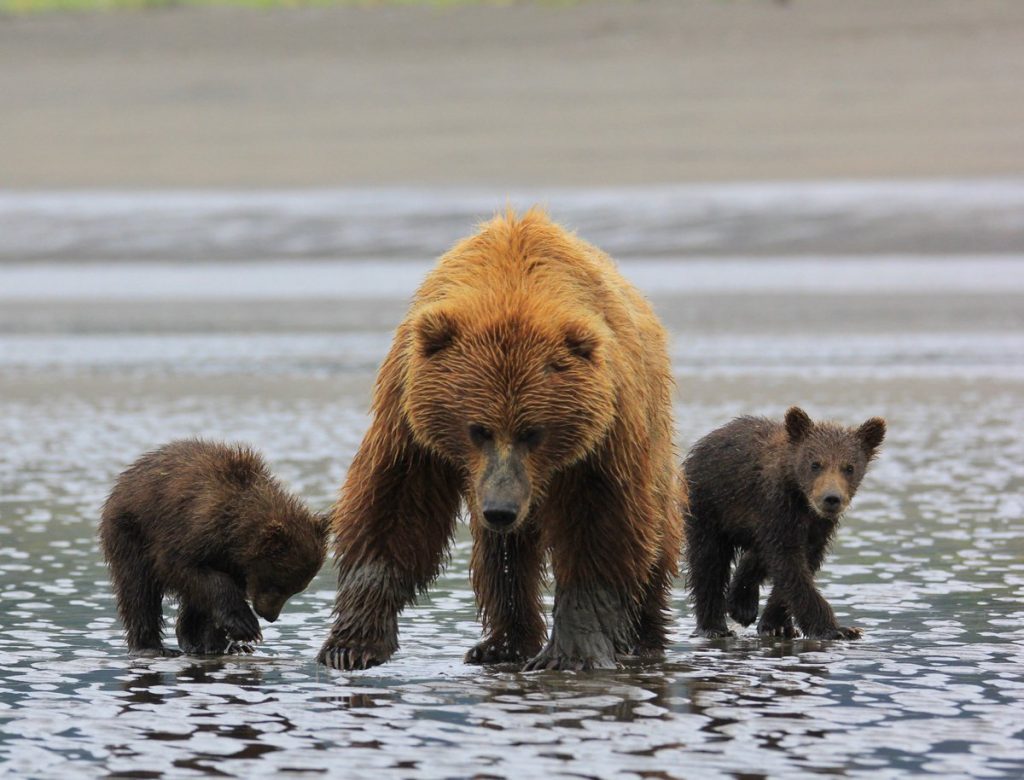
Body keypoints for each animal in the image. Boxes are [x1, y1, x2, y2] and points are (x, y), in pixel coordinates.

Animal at [97, 440, 325, 655]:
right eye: (277, 585)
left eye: (294, 589)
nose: (270, 616)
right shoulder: (191, 528)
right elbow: (180, 567)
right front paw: (246, 626)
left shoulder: (233, 561)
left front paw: (224, 640)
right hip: (130, 530)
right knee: (139, 589)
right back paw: (150, 647)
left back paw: (201, 641)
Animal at [315, 209, 684, 671]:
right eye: (478, 430)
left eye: (534, 432)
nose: (502, 509)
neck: (512, 284)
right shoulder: (409, 410)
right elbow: (395, 503)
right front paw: (351, 644)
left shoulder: (604, 431)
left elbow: (601, 522)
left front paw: (572, 653)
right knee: (502, 556)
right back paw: (501, 643)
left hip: (653, 427)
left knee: (656, 528)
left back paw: (645, 637)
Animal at [684, 407, 884, 638]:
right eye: (815, 464)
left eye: (849, 467)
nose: (831, 498)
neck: (802, 499)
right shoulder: (777, 509)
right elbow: (789, 564)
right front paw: (836, 629)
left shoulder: (816, 526)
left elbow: (802, 561)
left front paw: (776, 624)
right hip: (709, 506)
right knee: (709, 562)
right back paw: (714, 626)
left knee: (756, 554)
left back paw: (742, 604)